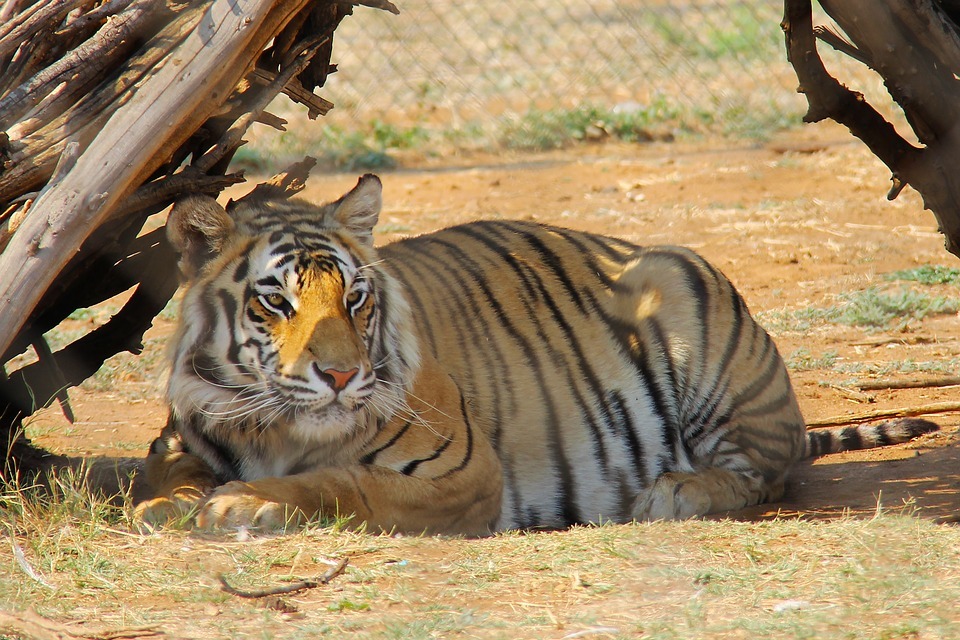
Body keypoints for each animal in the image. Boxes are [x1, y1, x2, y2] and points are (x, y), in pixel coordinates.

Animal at [134, 174, 938, 535]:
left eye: (356, 297)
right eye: (276, 301)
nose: (341, 375)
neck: (280, 429)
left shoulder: (461, 472)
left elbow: (339, 481)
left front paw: (241, 503)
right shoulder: (177, 438)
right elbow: (165, 479)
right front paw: (174, 505)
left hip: (684, 299)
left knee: (764, 475)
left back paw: (674, 492)